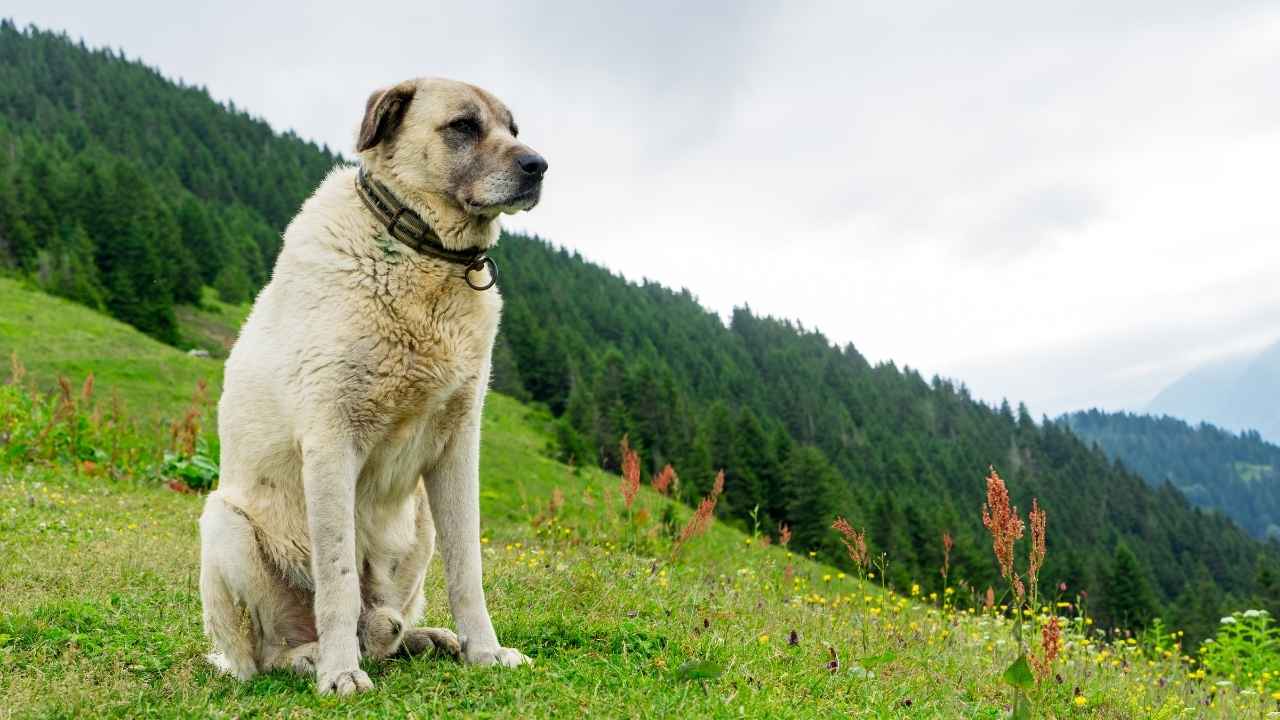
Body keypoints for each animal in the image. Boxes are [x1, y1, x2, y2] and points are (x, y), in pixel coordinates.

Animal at [197, 75, 547, 691]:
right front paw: (340, 674)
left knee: (386, 627)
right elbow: (337, 579)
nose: (539, 166)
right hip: (224, 525)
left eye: (512, 128)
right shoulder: (331, 441)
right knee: (262, 656)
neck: (421, 253)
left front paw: (485, 651)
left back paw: (424, 639)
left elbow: (468, 569)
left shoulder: (459, 447)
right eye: (463, 126)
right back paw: (311, 657)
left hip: (419, 526)